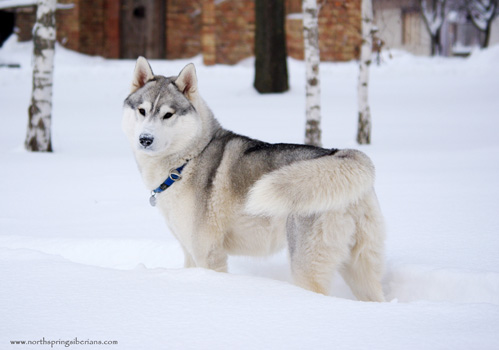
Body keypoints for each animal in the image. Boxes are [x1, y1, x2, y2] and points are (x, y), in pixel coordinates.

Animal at [122, 57, 386, 300]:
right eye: (142, 111)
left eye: (168, 115)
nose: (145, 139)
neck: (187, 159)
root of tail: (342, 154)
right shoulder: (188, 251)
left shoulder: (208, 254)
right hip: (361, 266)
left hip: (306, 266)